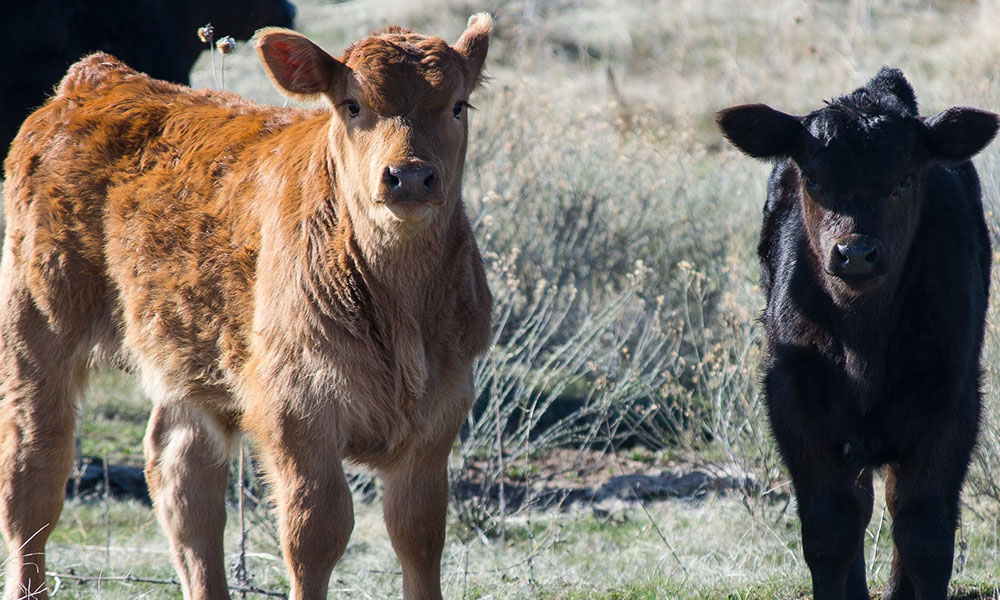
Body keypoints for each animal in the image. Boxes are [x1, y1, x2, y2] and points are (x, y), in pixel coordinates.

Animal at [716, 68, 999, 600]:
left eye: (904, 179)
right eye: (813, 178)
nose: (857, 254)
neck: (863, 343)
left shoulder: (951, 403)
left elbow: (925, 531)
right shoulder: (795, 403)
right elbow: (831, 528)